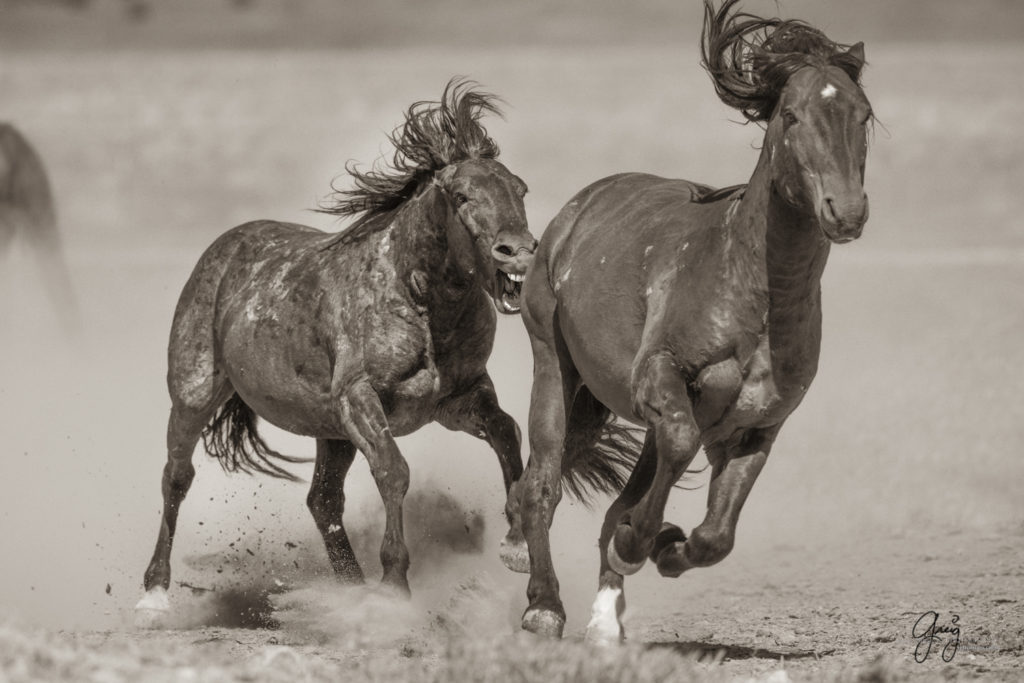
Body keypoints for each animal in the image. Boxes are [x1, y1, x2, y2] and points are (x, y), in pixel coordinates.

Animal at [136, 81, 536, 618]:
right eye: (461, 195)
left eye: (519, 189)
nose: (518, 252)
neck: (418, 299)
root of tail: (222, 249)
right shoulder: (359, 399)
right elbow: (394, 471)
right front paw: (394, 585)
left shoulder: (457, 400)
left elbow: (507, 433)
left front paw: (517, 546)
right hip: (195, 396)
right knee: (176, 477)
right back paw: (154, 595)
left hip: (331, 432)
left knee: (322, 500)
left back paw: (347, 590)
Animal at [499, 0, 876, 643]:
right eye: (792, 115)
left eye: (863, 114)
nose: (845, 211)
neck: (753, 293)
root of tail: (578, 208)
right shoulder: (661, 376)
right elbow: (673, 449)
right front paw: (636, 544)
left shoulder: (758, 426)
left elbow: (716, 536)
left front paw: (665, 547)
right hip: (553, 365)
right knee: (542, 483)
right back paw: (544, 605)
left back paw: (605, 620)